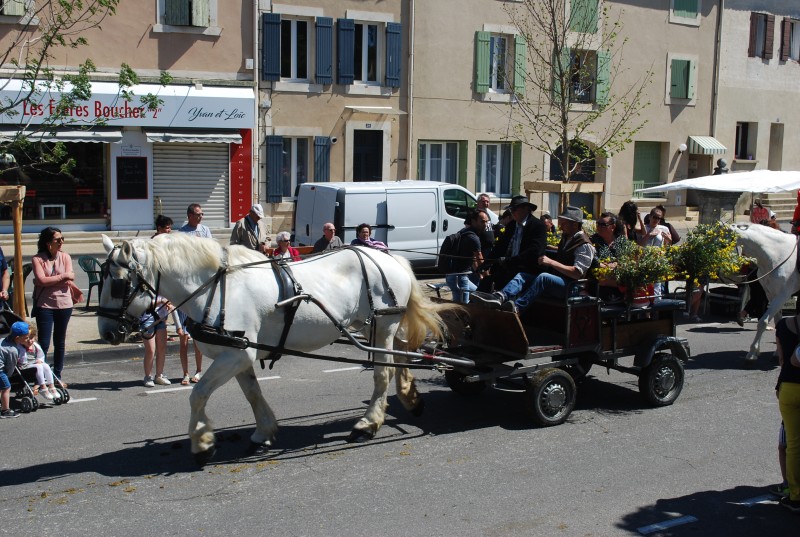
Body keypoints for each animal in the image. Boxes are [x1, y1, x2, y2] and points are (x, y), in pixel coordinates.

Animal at [98, 232, 456, 462]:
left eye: (118, 284)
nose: (108, 332)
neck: (217, 286)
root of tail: (387, 256)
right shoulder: (238, 352)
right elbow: (252, 393)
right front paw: (264, 432)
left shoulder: (236, 353)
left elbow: (198, 394)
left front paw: (201, 442)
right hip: (378, 326)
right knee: (402, 356)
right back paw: (410, 398)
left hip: (382, 325)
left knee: (382, 373)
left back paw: (367, 424)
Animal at [732, 222, 800, 360]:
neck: (777, 255)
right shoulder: (771, 295)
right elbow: (778, 322)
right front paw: (778, 352)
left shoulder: (782, 295)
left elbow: (763, 321)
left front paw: (752, 352)